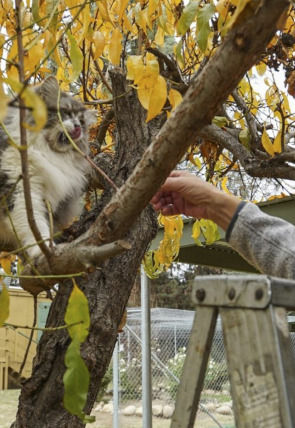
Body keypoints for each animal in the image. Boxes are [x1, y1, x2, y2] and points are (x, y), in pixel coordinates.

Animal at [0, 75, 95, 260]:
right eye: (65, 112)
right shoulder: (18, 187)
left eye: (81, 122)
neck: (44, 151)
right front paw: (41, 249)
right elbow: (31, 224)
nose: (78, 127)